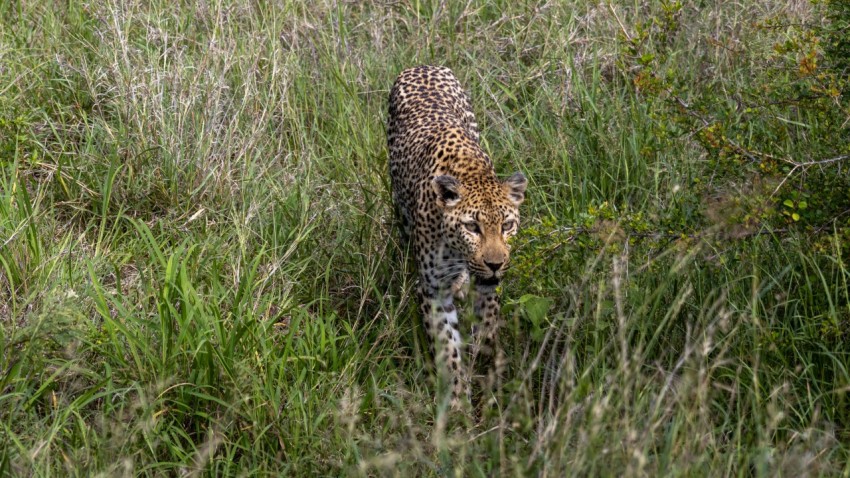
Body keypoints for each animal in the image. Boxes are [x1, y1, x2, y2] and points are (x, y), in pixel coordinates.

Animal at [388, 66, 528, 410]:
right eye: (472, 227)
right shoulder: (432, 289)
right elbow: (447, 348)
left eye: (507, 225)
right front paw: (456, 403)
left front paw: (485, 373)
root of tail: (421, 65)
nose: (495, 263)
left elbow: (486, 328)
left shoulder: (487, 287)